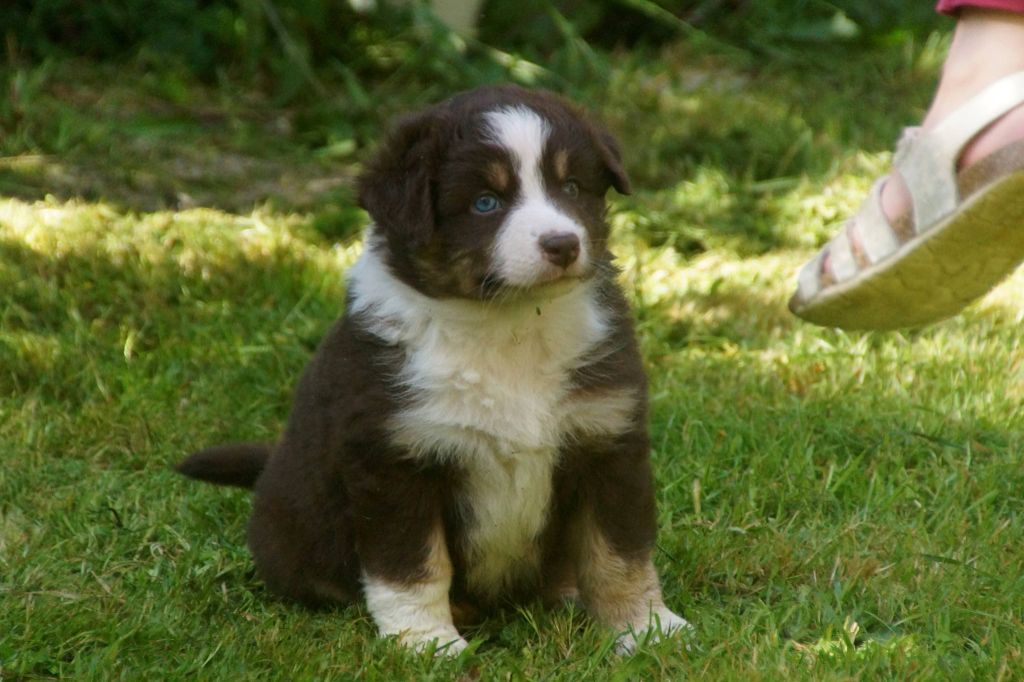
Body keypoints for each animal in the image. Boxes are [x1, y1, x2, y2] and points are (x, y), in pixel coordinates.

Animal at [177, 85, 690, 655]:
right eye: (485, 202)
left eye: (572, 187)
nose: (562, 244)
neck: (508, 327)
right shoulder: (395, 459)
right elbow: (414, 567)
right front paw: (427, 645)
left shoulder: (608, 440)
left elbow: (618, 555)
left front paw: (646, 629)